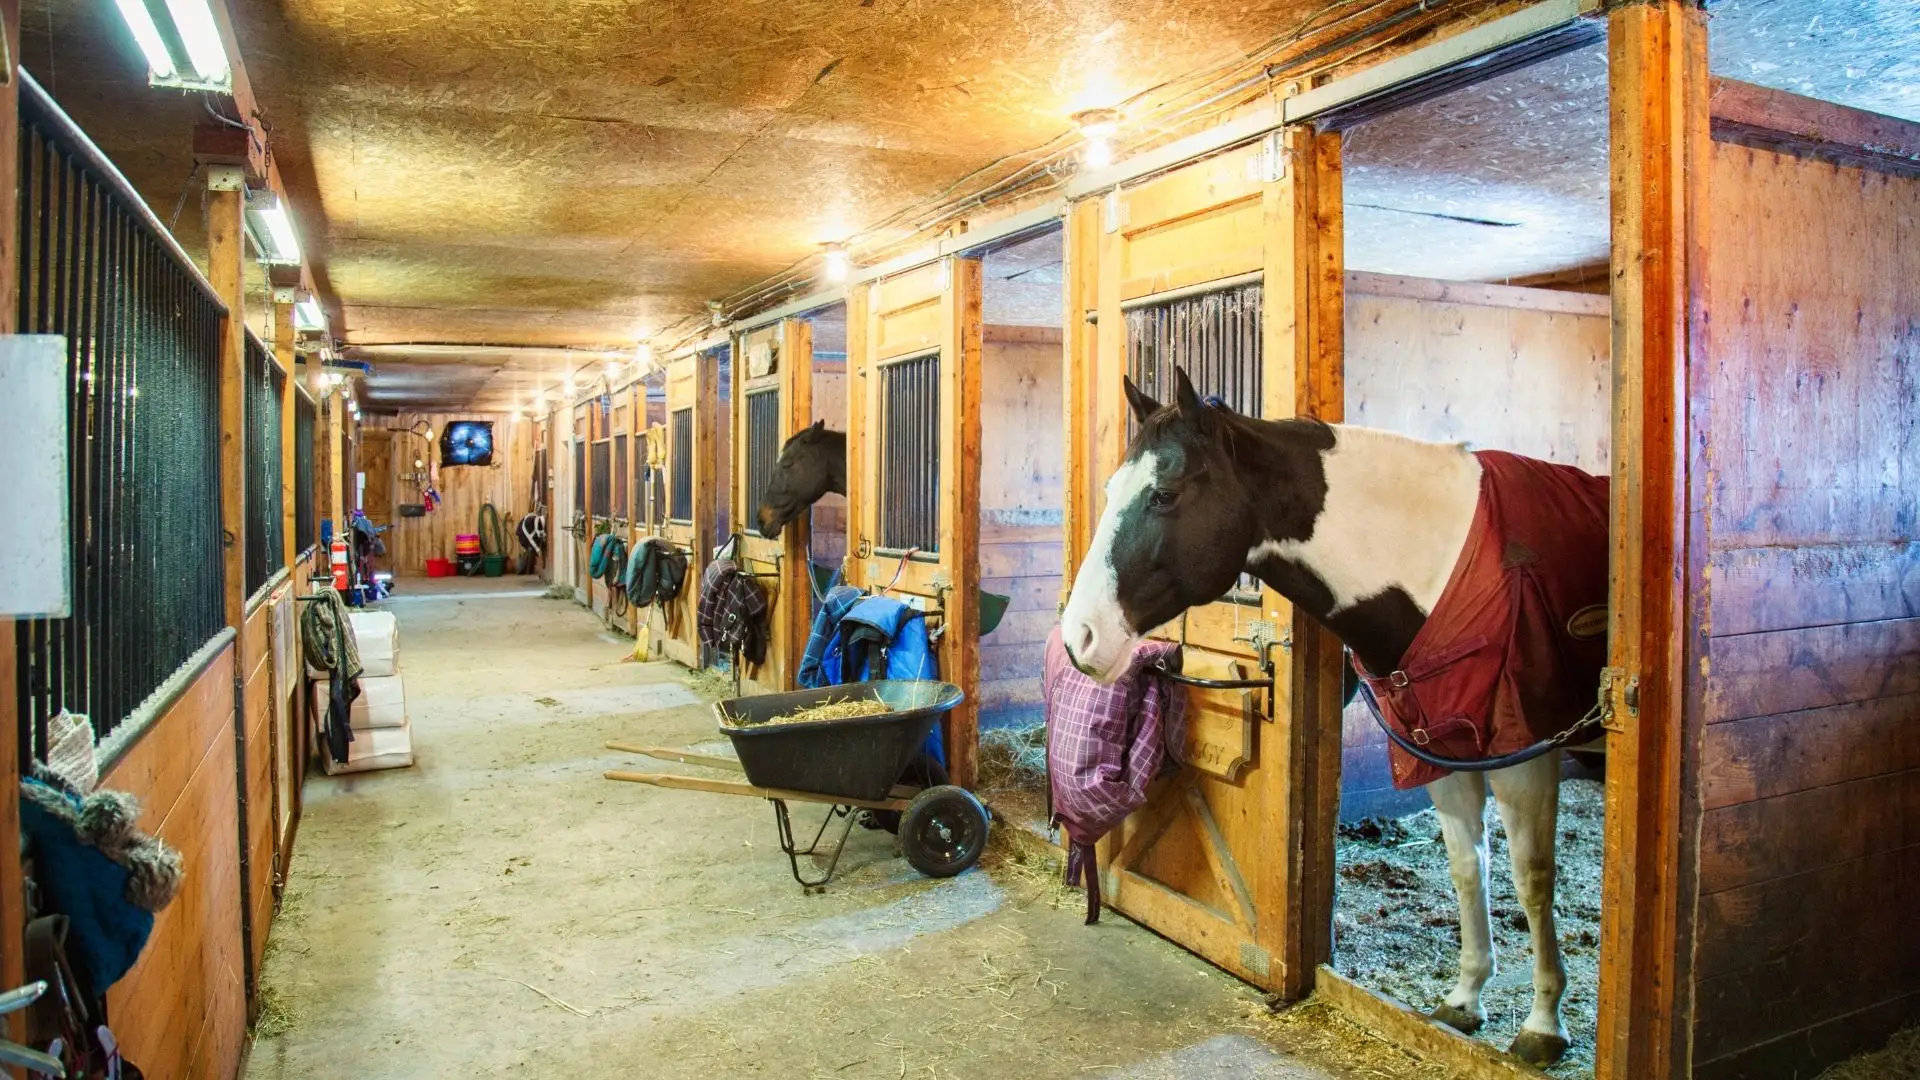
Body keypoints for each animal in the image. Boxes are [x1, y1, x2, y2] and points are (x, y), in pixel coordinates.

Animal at [1067, 365, 1605, 1060]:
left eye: (1164, 493)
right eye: (1112, 490)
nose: (1078, 637)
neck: (1441, 561)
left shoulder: (1524, 753)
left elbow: (1532, 877)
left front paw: (1542, 1025)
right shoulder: (1440, 750)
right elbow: (1468, 867)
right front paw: (1464, 999)